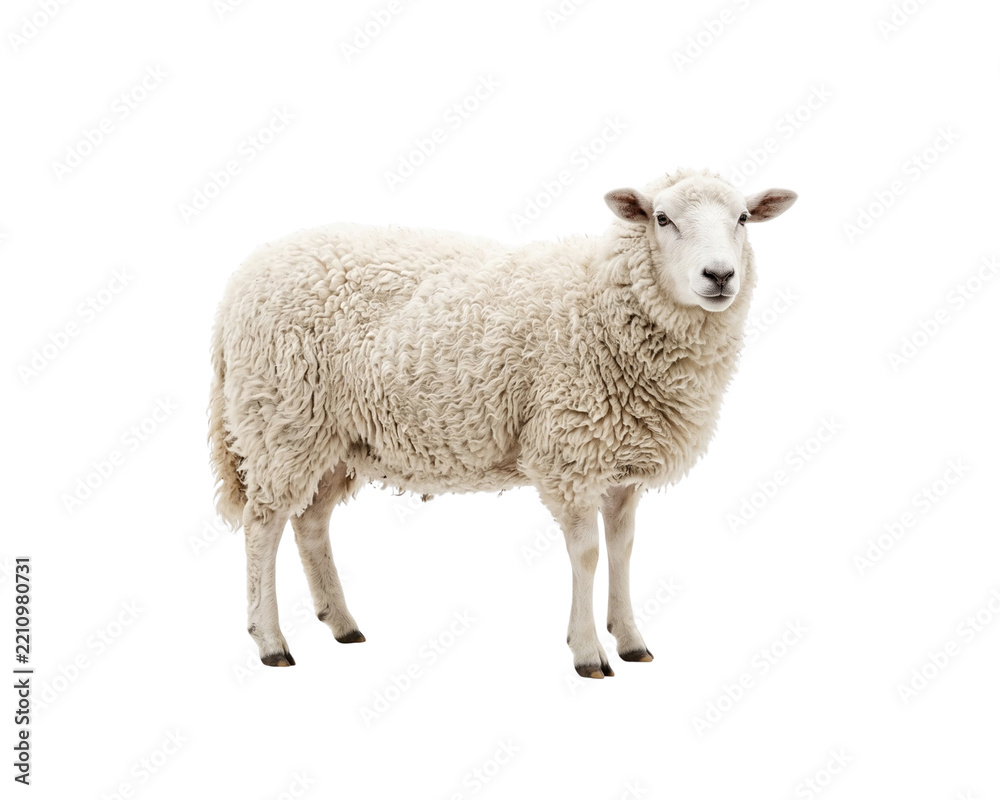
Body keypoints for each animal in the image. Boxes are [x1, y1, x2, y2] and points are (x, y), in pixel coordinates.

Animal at [208, 168, 797, 678]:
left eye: (744, 218)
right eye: (661, 218)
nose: (719, 275)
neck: (601, 299)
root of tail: (243, 275)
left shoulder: (620, 462)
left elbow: (623, 548)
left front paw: (630, 639)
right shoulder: (568, 451)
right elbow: (587, 554)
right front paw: (588, 651)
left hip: (335, 437)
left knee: (310, 522)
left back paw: (342, 623)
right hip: (282, 419)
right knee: (263, 525)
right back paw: (270, 641)